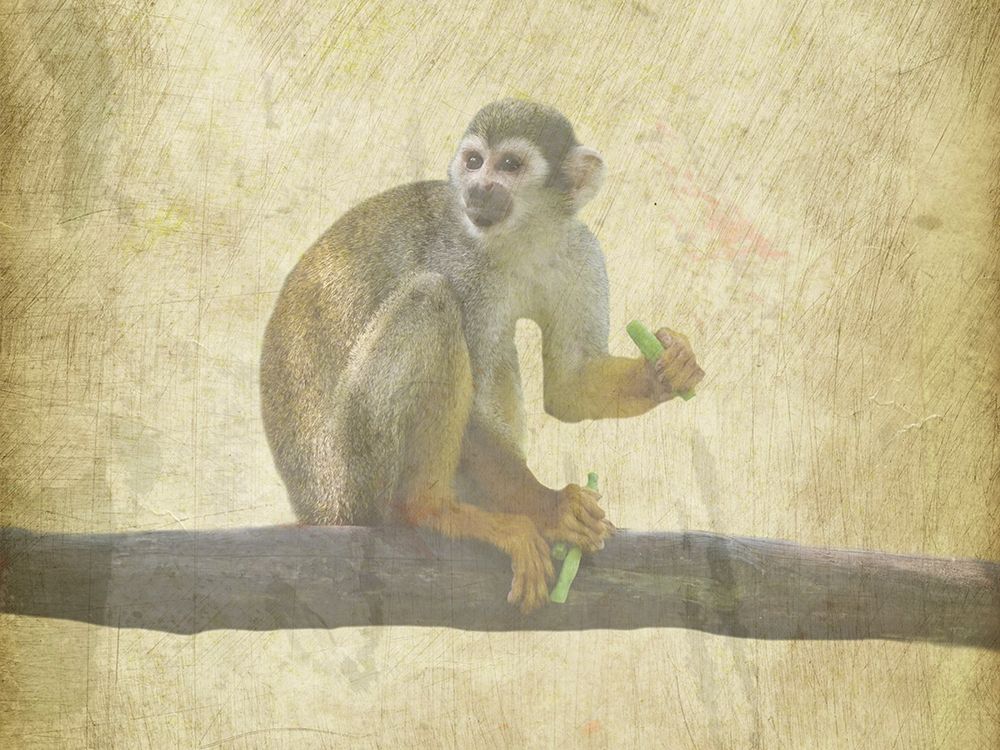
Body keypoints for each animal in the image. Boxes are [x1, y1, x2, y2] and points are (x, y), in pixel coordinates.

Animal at [260, 99, 704, 613]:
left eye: (509, 165)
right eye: (474, 161)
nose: (477, 187)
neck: (523, 237)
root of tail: (315, 506)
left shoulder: (580, 252)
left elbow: (570, 386)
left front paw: (667, 370)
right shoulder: (461, 262)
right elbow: (473, 411)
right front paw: (551, 507)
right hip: (352, 474)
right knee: (432, 301)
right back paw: (432, 509)